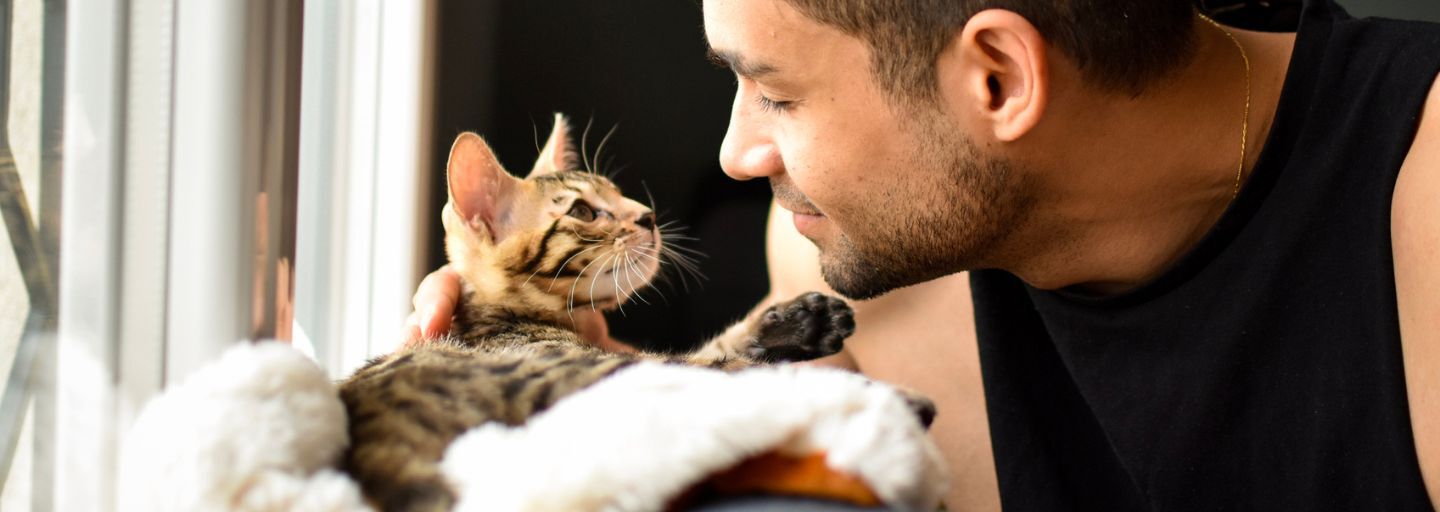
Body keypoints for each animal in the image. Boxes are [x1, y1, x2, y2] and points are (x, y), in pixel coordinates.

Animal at [335, 115, 852, 512]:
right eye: (583, 211)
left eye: (618, 193)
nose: (647, 215)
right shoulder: (608, 365)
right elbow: (712, 360)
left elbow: (718, 345)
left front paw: (800, 321)